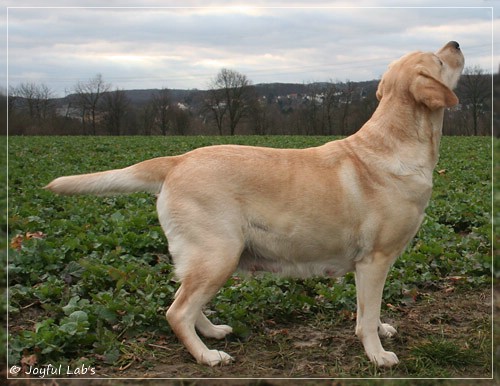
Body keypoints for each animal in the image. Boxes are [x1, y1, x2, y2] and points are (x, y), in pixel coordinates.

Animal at [46, 42, 464, 368]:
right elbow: (366, 316)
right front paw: (377, 354)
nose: (456, 43)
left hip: (209, 258)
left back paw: (214, 332)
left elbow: (368, 310)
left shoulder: (369, 268)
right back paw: (207, 356)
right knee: (176, 311)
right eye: (438, 60)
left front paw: (381, 330)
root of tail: (177, 160)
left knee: (187, 302)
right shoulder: (374, 261)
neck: (399, 140)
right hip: (219, 252)